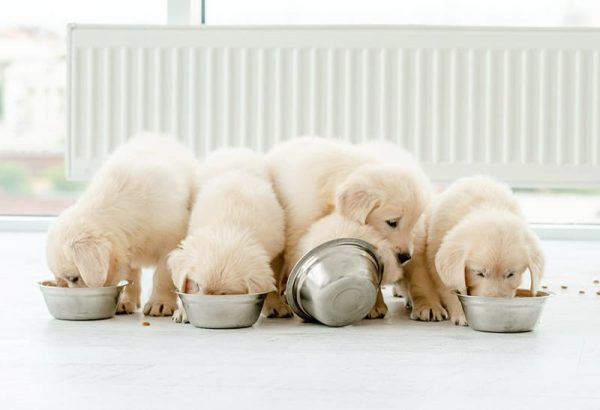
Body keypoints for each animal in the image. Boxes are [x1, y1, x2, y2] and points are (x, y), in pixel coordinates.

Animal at [47, 135, 197, 318]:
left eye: (74, 278)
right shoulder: (127, 249)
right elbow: (130, 277)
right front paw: (126, 301)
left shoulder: (171, 243)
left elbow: (162, 276)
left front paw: (160, 303)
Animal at [166, 148, 284, 324]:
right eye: (197, 285)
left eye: (224, 294)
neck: (229, 227)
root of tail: (233, 149)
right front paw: (183, 312)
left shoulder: (276, 249)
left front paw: (276, 304)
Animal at [268, 137, 432, 318]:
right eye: (392, 222)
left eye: (412, 224)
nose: (405, 257)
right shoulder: (299, 232)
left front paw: (376, 304)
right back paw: (276, 303)